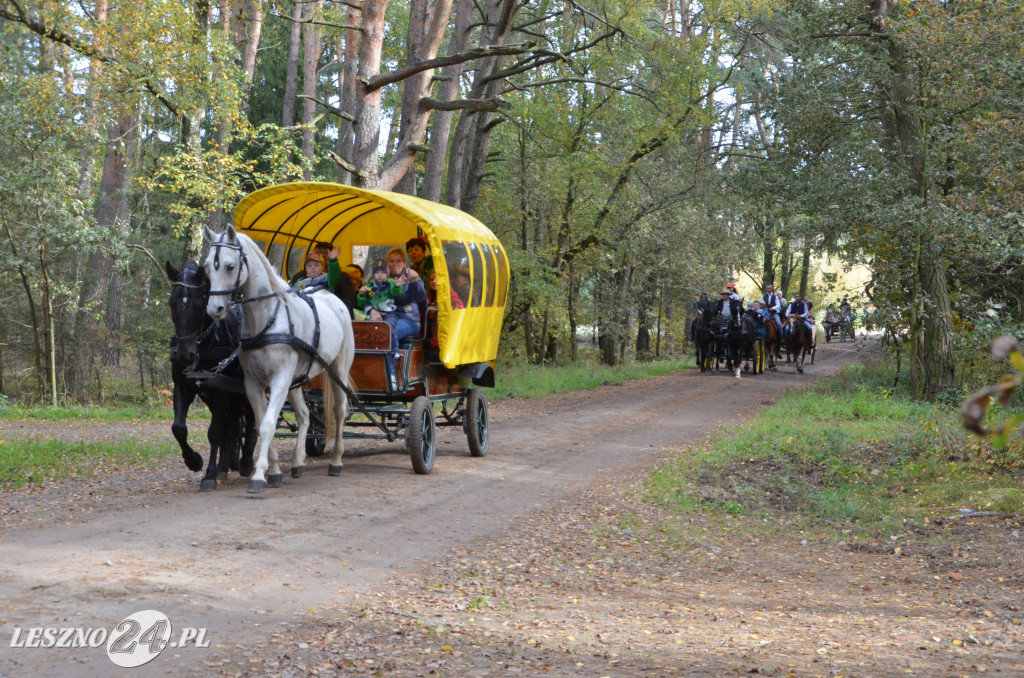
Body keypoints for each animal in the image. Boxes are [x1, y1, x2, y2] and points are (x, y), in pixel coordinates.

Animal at [166, 261, 256, 493]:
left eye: (199, 303)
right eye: (171, 303)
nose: (184, 354)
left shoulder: (220, 388)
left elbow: (214, 432)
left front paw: (209, 476)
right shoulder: (183, 385)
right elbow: (179, 428)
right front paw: (194, 461)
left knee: (252, 416)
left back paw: (246, 461)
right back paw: (224, 467)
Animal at [203, 227, 356, 493]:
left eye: (230, 266)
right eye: (207, 267)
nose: (215, 310)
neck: (267, 319)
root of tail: (334, 299)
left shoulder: (279, 380)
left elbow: (267, 425)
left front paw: (258, 477)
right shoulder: (253, 383)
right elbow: (261, 424)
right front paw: (273, 472)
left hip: (338, 369)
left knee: (339, 411)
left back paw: (336, 461)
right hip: (296, 380)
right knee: (305, 415)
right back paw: (297, 463)